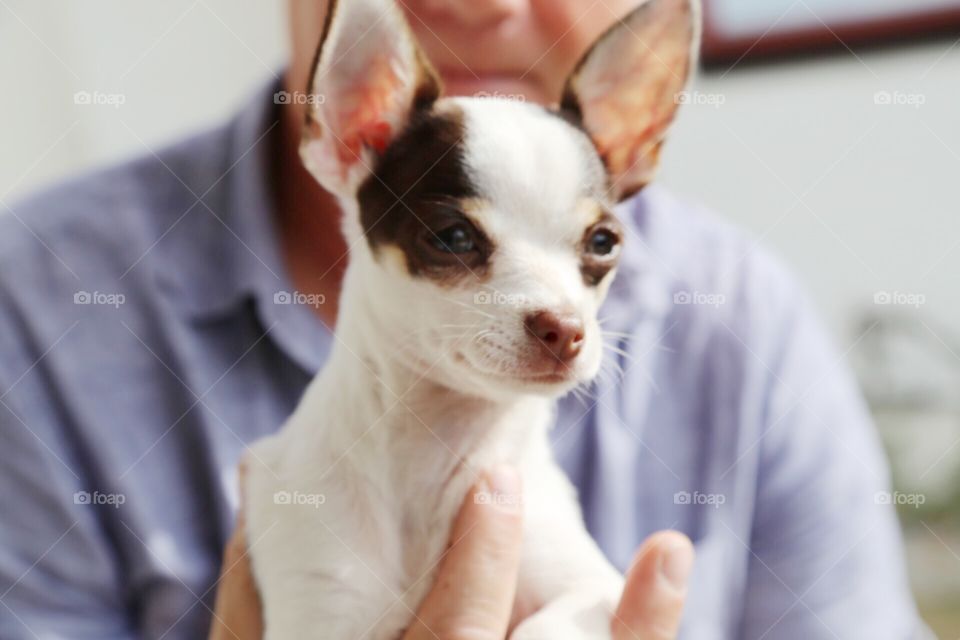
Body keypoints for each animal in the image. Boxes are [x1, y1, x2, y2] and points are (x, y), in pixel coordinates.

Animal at [246, 0, 696, 632]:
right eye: (453, 238)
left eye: (604, 242)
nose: (565, 329)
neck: (440, 448)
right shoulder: (320, 606)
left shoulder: (596, 590)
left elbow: (546, 625)